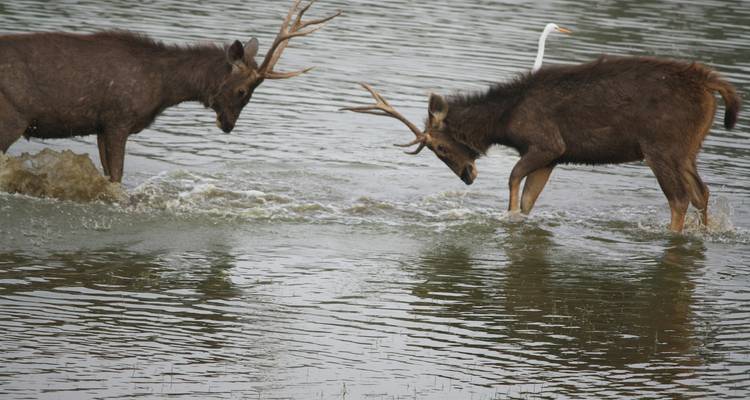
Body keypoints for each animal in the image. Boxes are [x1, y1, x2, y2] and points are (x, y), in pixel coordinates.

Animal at [0, 0, 340, 183]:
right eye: (243, 90)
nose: (228, 125)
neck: (164, 88)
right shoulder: (118, 118)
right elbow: (117, 177)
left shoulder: (100, 125)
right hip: (11, 117)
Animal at [344, 56, 741, 232]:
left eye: (440, 148)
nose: (468, 175)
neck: (504, 121)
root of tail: (711, 84)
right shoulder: (552, 157)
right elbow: (530, 197)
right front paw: (518, 220)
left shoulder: (546, 144)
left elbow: (512, 181)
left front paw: (505, 217)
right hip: (687, 149)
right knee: (702, 192)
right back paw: (706, 232)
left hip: (660, 147)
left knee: (679, 198)